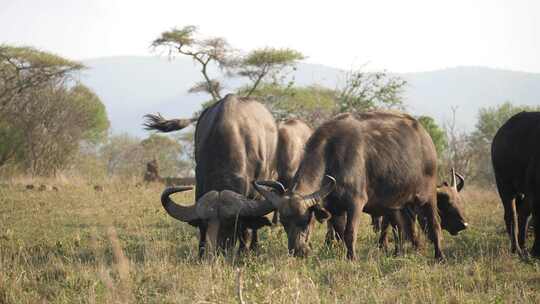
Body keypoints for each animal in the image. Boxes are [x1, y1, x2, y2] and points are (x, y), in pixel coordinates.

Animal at [254, 111, 468, 258]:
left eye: (306, 220)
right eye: (284, 222)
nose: (297, 251)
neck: (332, 155)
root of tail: (425, 137)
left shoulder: (355, 203)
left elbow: (350, 233)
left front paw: (352, 258)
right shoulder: (335, 208)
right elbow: (340, 232)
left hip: (427, 197)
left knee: (434, 225)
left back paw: (439, 256)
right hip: (397, 204)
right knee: (404, 228)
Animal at [494, 111, 540, 256]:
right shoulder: (534, 190)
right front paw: (536, 251)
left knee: (522, 212)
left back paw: (523, 246)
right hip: (504, 185)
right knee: (511, 215)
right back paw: (516, 248)